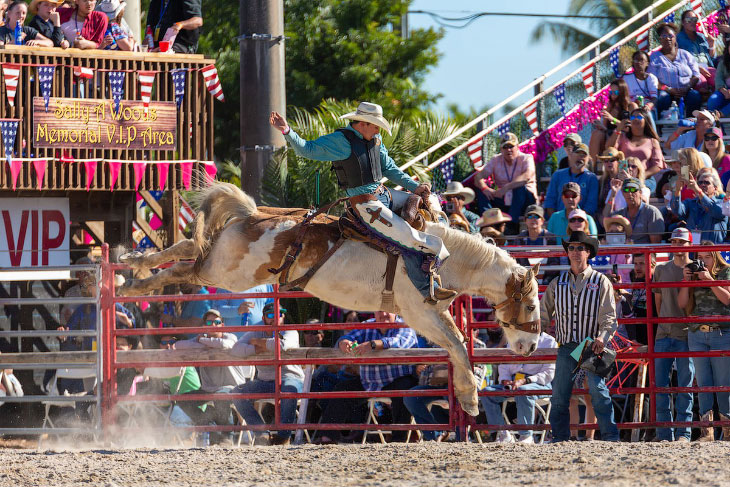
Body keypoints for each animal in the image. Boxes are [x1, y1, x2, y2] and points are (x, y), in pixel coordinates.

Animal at [121, 183, 540, 416]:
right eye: (533, 304)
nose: (532, 346)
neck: (441, 257)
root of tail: (254, 214)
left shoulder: (431, 313)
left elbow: (457, 346)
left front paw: (468, 394)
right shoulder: (420, 313)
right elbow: (455, 343)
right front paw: (470, 400)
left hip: (225, 264)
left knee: (189, 247)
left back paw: (133, 265)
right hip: (226, 273)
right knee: (188, 265)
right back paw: (132, 282)